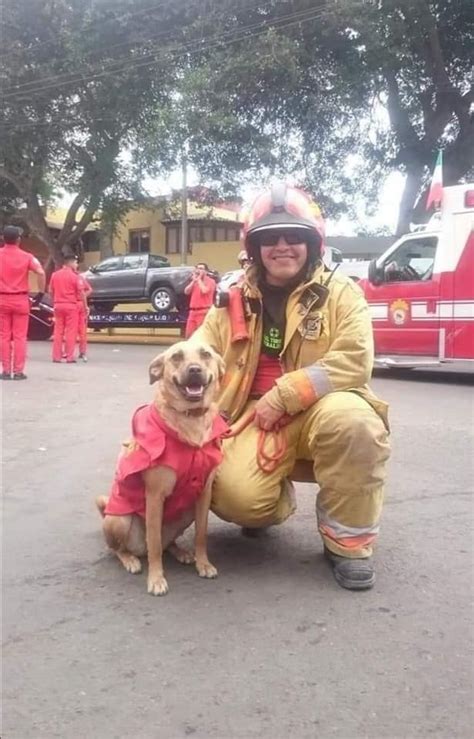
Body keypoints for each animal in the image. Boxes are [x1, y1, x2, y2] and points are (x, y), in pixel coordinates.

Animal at [96, 342, 226, 596]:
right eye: (176, 357)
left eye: (205, 354)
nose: (194, 369)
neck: (190, 421)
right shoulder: (155, 496)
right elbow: (154, 545)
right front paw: (156, 579)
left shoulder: (204, 494)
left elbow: (201, 535)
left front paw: (203, 563)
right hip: (119, 520)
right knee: (122, 548)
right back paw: (130, 560)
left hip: (186, 512)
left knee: (167, 543)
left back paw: (181, 552)